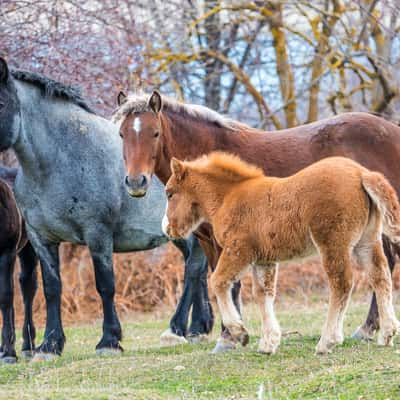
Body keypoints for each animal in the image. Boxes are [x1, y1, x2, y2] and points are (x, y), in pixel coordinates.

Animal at [0, 56, 212, 360]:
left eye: (0, 103)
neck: (64, 160)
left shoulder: (97, 234)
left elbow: (105, 284)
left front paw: (109, 341)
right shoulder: (42, 239)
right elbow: (52, 288)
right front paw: (50, 345)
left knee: (194, 268)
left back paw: (178, 329)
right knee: (199, 267)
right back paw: (198, 328)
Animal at [162, 153, 400, 354]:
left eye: (170, 193)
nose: (166, 229)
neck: (228, 197)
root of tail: (362, 173)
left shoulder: (238, 250)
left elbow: (218, 282)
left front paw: (240, 333)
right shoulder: (264, 259)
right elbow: (263, 294)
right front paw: (269, 342)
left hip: (332, 244)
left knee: (342, 284)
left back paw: (327, 342)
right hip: (366, 241)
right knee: (380, 277)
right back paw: (387, 333)